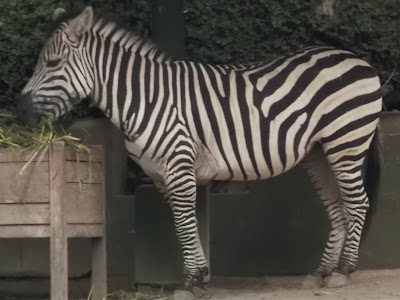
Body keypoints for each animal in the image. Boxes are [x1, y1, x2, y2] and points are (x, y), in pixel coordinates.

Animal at [16, 6, 382, 298]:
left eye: (52, 62)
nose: (21, 112)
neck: (144, 98)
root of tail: (356, 59)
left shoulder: (178, 164)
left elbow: (184, 223)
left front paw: (191, 282)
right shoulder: (159, 174)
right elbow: (184, 225)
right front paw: (200, 278)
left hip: (347, 141)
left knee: (357, 203)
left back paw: (343, 271)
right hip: (319, 152)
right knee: (337, 208)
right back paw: (321, 272)